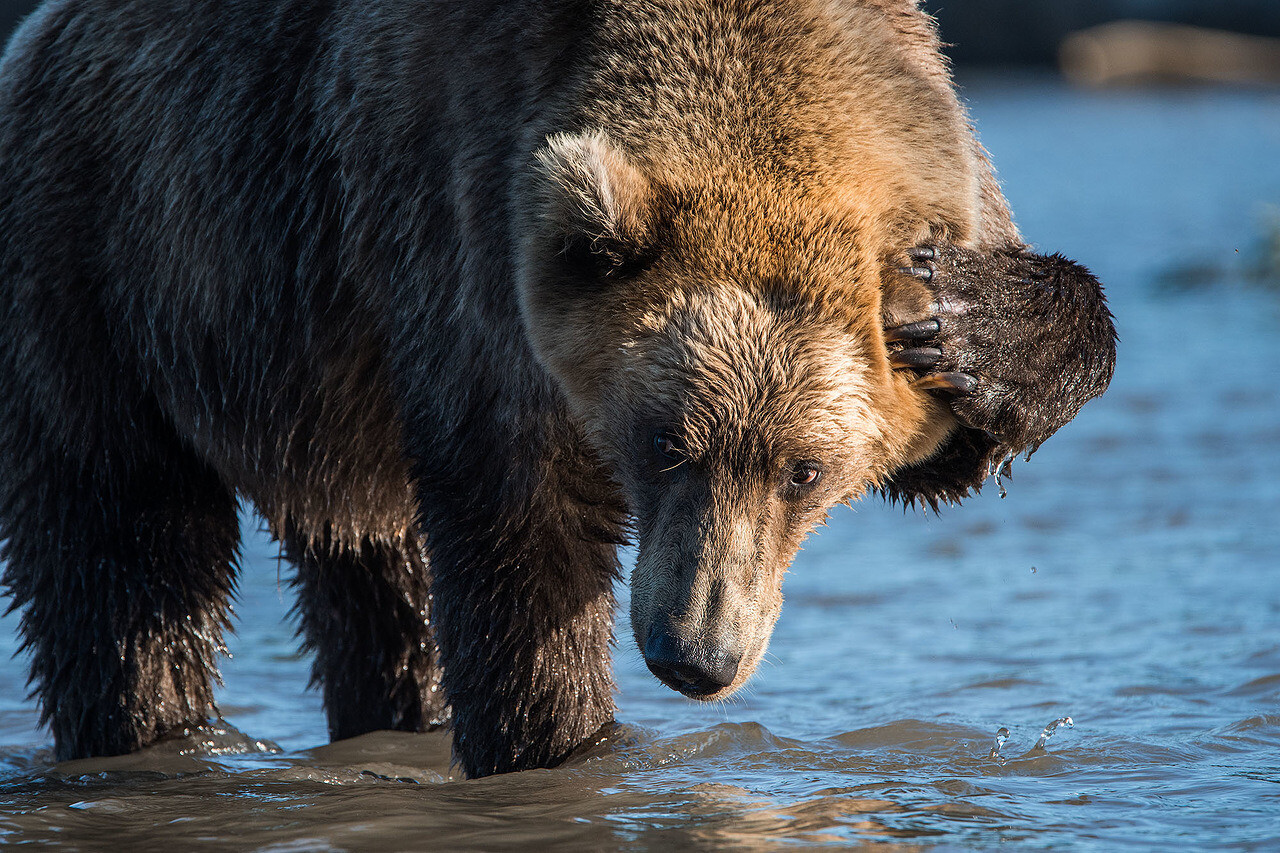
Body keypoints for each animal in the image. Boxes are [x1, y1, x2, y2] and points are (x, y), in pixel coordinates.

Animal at [0, 0, 1111, 778]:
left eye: (803, 469)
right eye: (662, 440)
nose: (694, 653)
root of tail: (40, 36)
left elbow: (974, 423)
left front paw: (972, 323)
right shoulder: (464, 232)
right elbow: (519, 542)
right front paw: (561, 741)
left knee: (378, 570)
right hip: (116, 261)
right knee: (126, 554)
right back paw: (144, 727)